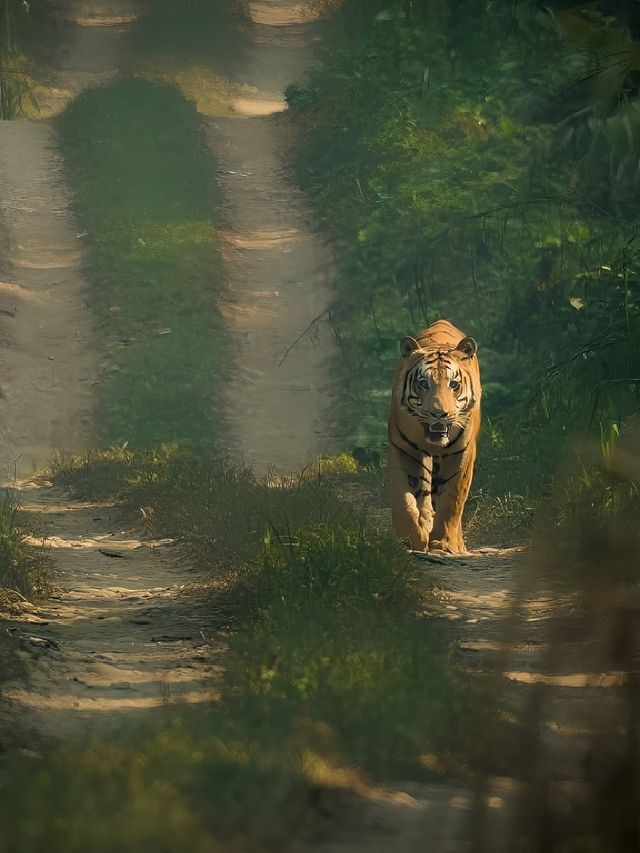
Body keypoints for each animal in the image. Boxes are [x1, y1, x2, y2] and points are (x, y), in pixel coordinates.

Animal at [384, 320, 480, 552]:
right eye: (423, 384)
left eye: (453, 384)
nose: (439, 413)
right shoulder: (404, 450)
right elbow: (404, 499)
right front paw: (412, 538)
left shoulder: (462, 452)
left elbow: (452, 498)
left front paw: (444, 543)